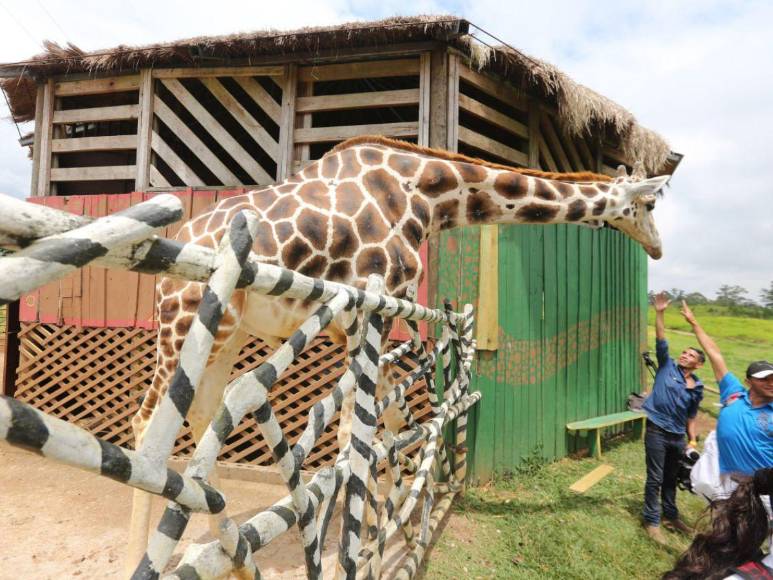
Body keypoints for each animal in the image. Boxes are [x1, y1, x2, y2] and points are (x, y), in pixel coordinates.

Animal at [126, 135, 669, 571]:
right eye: (649, 205)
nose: (659, 249)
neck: (424, 194)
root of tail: (177, 243)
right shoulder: (370, 307)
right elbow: (358, 438)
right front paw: (359, 544)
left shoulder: (370, 318)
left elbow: (385, 426)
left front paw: (386, 529)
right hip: (185, 319)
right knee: (148, 421)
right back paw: (146, 553)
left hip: (228, 332)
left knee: (203, 413)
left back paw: (225, 541)